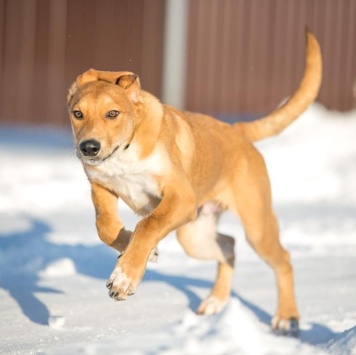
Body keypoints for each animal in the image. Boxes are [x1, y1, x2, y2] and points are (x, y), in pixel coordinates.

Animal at [67, 29, 322, 336]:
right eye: (77, 114)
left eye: (113, 114)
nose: (88, 148)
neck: (124, 151)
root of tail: (236, 130)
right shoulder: (102, 187)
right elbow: (105, 226)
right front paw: (141, 252)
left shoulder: (181, 197)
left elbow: (148, 224)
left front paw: (125, 276)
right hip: (194, 234)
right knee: (229, 245)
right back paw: (215, 301)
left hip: (256, 226)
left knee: (283, 260)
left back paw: (286, 317)